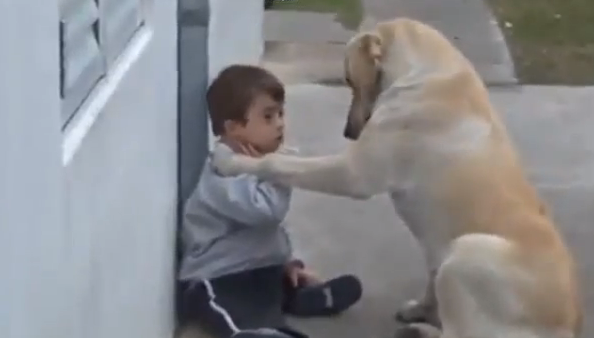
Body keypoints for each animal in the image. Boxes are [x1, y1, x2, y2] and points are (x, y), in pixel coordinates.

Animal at [210, 17, 580, 338]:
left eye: (349, 78)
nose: (349, 133)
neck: (429, 69)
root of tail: (567, 325)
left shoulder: (352, 174)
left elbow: (278, 165)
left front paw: (231, 160)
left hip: (467, 252)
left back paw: (421, 330)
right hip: (442, 251)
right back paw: (420, 311)